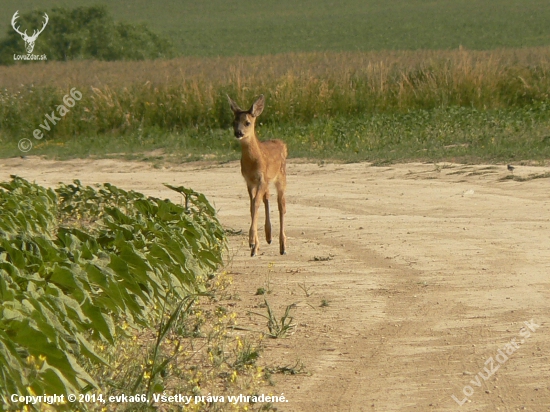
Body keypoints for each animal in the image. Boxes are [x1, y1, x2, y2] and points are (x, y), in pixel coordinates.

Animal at [229, 96, 288, 258]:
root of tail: (282, 143)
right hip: (267, 182)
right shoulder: (249, 181)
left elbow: (255, 203)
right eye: (233, 122)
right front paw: (254, 246)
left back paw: (283, 246)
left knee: (281, 205)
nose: (238, 133)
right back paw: (268, 237)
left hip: (281, 176)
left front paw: (252, 242)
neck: (253, 160)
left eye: (247, 122)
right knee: (266, 198)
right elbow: (252, 205)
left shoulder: (261, 179)